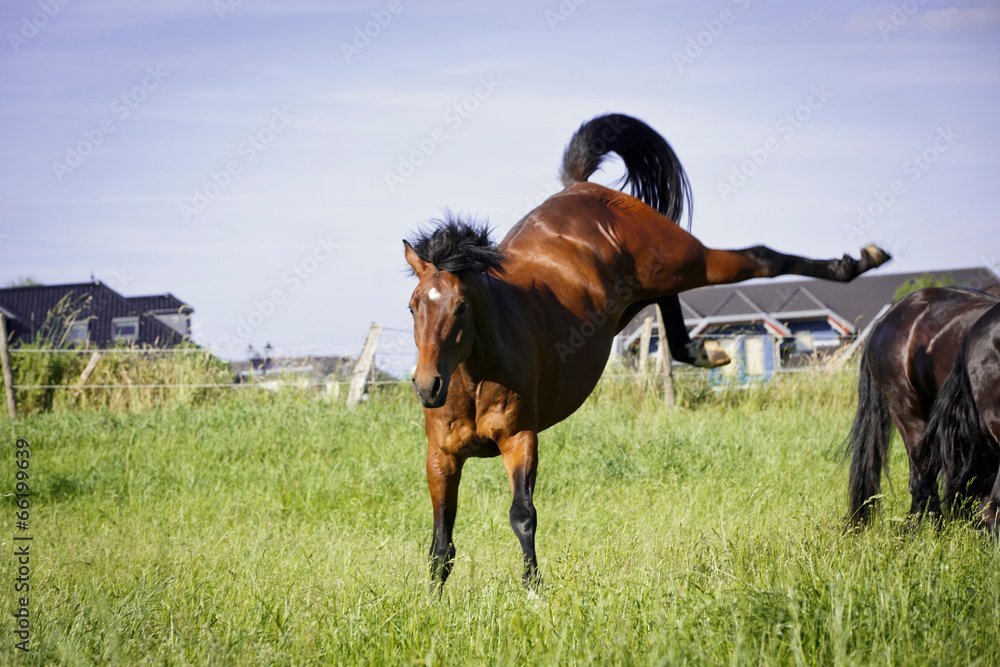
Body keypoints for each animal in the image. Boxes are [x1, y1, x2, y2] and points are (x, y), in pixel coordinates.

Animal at [404, 113, 891, 590]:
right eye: (413, 306)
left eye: (462, 306)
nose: (428, 387)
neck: (472, 377)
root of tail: (581, 188)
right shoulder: (441, 458)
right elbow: (441, 543)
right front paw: (433, 601)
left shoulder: (520, 439)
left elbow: (522, 515)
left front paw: (534, 591)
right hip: (639, 292)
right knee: (671, 297)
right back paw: (703, 350)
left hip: (681, 256)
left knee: (758, 257)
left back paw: (858, 261)